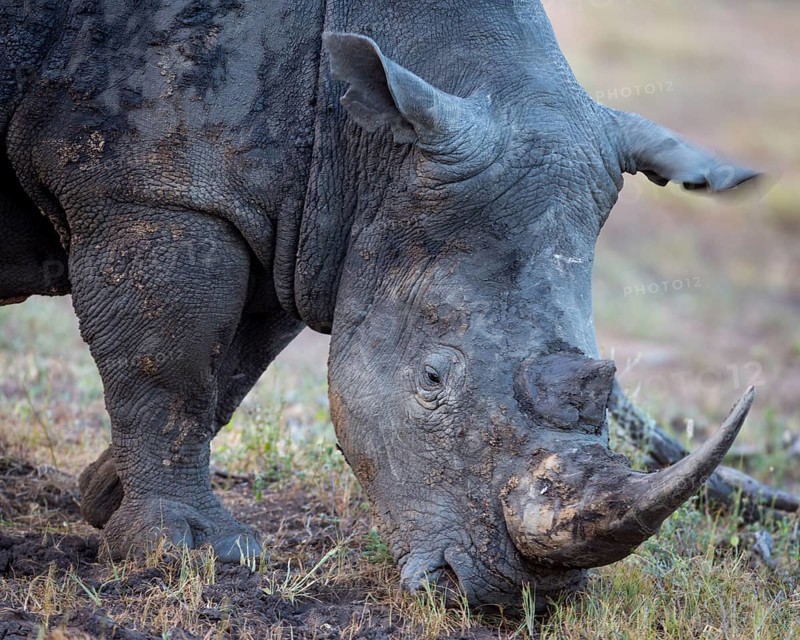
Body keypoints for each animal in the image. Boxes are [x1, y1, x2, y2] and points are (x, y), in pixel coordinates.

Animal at [1, 0, 795, 608]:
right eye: (432, 380)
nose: (524, 596)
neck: (368, 145)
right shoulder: (153, 189)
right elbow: (172, 368)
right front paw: (190, 554)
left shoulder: (303, 221)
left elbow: (230, 371)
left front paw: (103, 500)